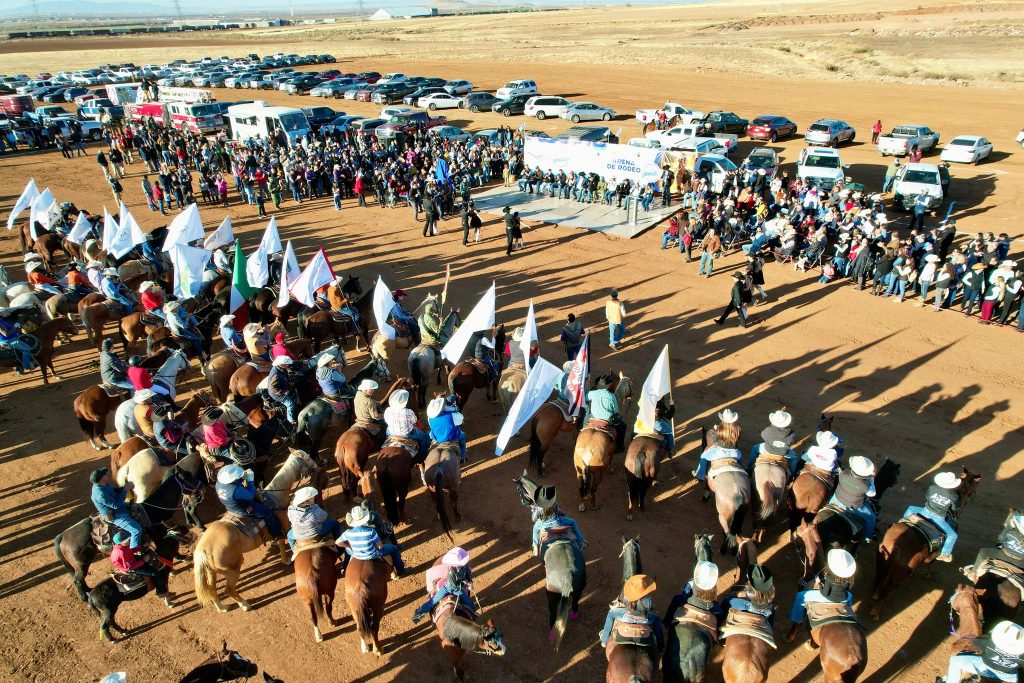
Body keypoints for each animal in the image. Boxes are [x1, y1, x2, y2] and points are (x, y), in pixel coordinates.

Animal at [192, 450, 319, 610]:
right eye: (307, 458)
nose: (317, 465)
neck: (276, 497)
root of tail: (202, 550)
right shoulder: (283, 526)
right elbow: (283, 543)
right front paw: (286, 560)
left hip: (211, 573)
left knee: (212, 590)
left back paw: (222, 608)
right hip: (233, 570)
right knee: (228, 590)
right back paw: (245, 605)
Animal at [868, 466, 978, 622]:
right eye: (974, 485)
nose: (971, 497)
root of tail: (898, 546)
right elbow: (930, 563)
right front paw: (927, 574)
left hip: (881, 559)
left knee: (878, 579)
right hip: (898, 575)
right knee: (886, 591)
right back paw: (876, 612)